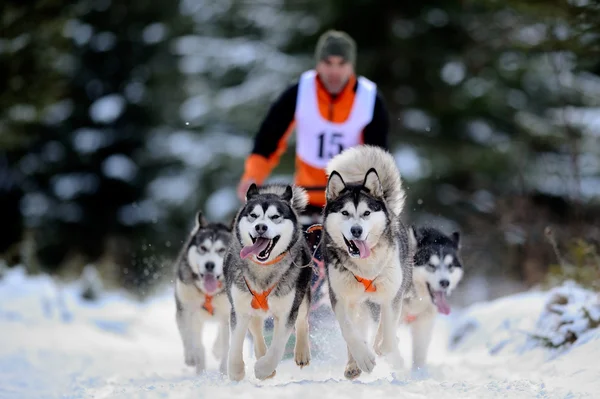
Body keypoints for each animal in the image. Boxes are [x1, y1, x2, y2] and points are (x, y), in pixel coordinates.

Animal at [175, 211, 233, 376]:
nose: (209, 265)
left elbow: (226, 344)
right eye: (203, 248)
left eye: (221, 250)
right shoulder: (186, 310)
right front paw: (192, 357)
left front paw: (223, 371)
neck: (208, 293)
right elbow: (189, 336)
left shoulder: (229, 312)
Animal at [223, 184, 312, 382]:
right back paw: (260, 352)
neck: (263, 270)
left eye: (275, 217)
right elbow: (235, 342)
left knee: (302, 321)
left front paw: (264, 368)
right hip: (253, 310)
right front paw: (236, 370)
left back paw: (301, 352)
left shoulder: (287, 312)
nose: (261, 227)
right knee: (257, 331)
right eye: (253, 215)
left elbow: (278, 346)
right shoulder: (239, 309)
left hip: (302, 297)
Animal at [322, 146, 414, 382]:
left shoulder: (391, 296)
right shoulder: (341, 298)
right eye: (345, 212)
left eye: (367, 213)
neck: (365, 265)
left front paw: (391, 356)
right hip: (359, 305)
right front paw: (363, 358)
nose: (357, 230)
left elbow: (388, 333)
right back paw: (353, 364)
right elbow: (349, 331)